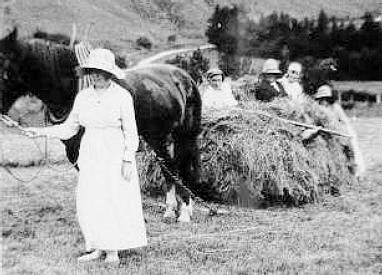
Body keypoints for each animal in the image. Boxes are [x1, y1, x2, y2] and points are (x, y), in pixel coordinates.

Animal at [0, 28, 203, 222]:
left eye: (3, 69)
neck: (70, 89)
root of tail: (184, 78)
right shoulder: (73, 149)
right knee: (172, 169)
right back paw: (175, 209)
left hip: (170, 137)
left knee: (176, 169)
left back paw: (182, 212)